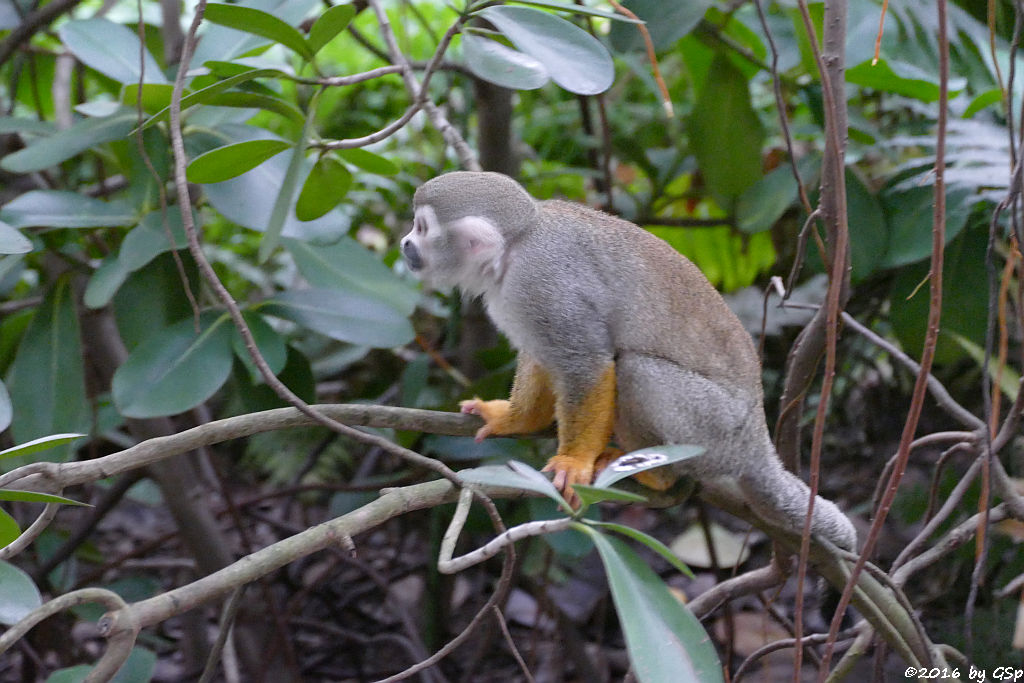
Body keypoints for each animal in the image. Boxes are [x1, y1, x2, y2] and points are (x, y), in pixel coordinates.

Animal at [399, 169, 856, 548]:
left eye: (422, 228)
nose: (405, 243)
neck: (514, 249)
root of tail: (757, 442)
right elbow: (544, 356)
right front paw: (514, 418)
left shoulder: (542, 284)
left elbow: (587, 363)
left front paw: (574, 462)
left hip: (718, 429)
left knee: (637, 370)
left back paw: (657, 473)